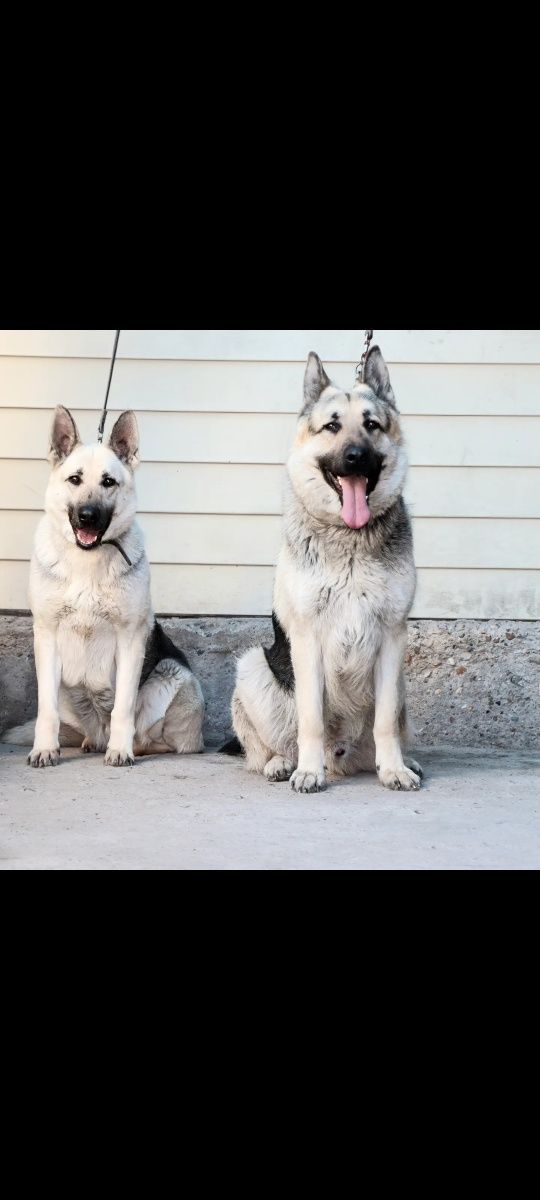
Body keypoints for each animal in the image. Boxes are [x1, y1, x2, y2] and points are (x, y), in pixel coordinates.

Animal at [5, 408, 205, 768]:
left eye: (108, 482)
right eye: (74, 479)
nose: (88, 516)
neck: (87, 561)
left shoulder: (131, 640)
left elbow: (123, 707)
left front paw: (121, 750)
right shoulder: (46, 638)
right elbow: (45, 711)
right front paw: (45, 748)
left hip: (171, 675)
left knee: (166, 741)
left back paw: (132, 745)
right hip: (66, 689)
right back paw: (89, 742)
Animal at [228, 348, 422, 792]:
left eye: (371, 425)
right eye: (332, 426)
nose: (356, 457)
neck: (349, 540)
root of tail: (343, 759)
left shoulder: (392, 638)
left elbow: (386, 722)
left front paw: (394, 769)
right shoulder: (307, 640)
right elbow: (311, 719)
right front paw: (309, 771)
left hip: (402, 683)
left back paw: (399, 761)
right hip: (253, 668)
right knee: (267, 746)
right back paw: (284, 763)